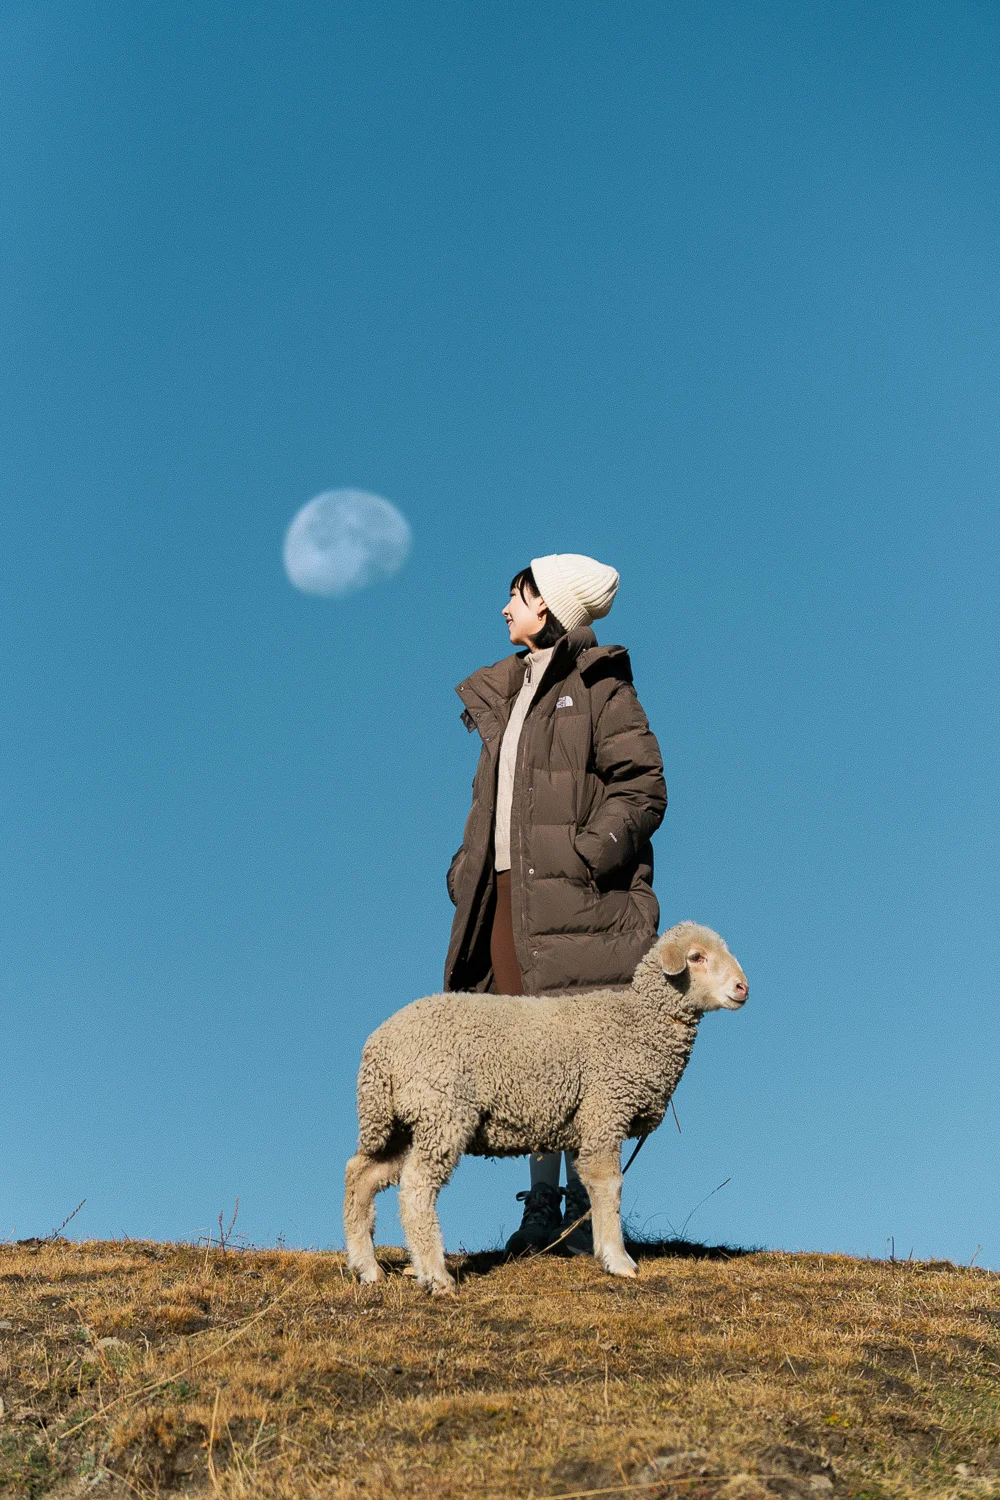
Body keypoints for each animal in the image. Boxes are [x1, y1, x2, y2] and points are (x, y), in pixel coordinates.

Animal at [344, 918, 743, 1296]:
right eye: (696, 957)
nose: (743, 988)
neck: (636, 1023)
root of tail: (379, 1044)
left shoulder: (586, 1120)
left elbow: (590, 1182)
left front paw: (600, 1249)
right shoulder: (605, 1108)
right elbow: (609, 1183)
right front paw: (619, 1260)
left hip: (402, 1121)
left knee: (360, 1175)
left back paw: (368, 1268)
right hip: (442, 1110)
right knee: (415, 1187)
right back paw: (436, 1277)